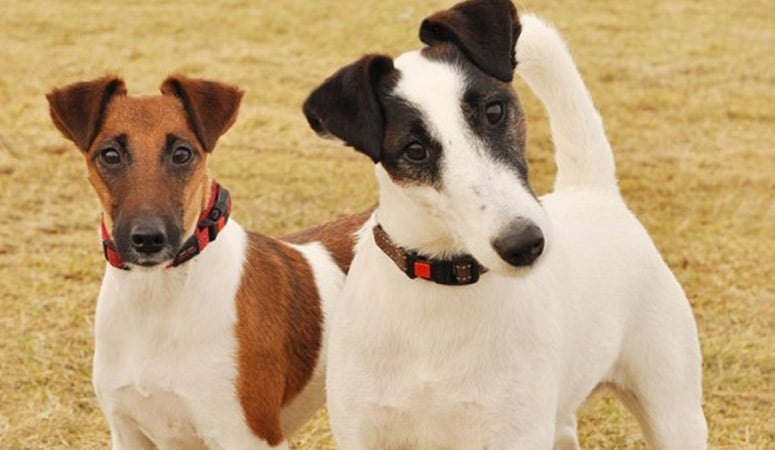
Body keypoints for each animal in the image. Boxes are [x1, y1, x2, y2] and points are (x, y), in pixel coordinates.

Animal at [47, 75, 368, 448]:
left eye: (182, 153)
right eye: (109, 155)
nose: (148, 239)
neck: (157, 300)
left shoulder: (249, 436)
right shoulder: (127, 433)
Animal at [304, 0, 708, 450]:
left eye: (494, 111)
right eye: (414, 150)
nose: (524, 243)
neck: (441, 285)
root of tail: (594, 190)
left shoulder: (511, 433)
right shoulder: (363, 431)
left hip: (673, 412)